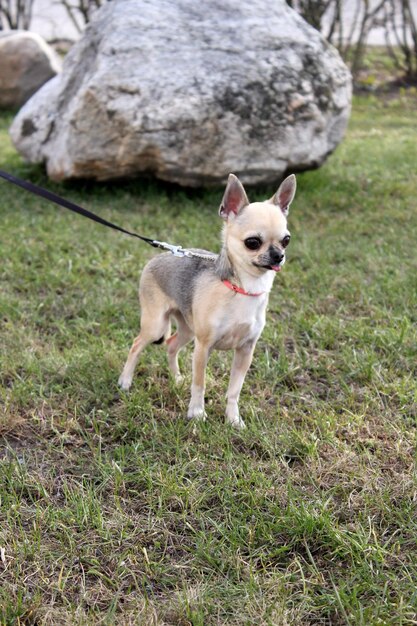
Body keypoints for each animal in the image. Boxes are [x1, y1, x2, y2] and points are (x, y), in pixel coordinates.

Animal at [118, 173, 296, 426]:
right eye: (252, 242)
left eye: (286, 240)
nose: (278, 255)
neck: (243, 289)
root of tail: (158, 256)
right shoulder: (203, 347)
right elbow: (199, 384)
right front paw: (197, 413)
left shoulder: (245, 351)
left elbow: (234, 390)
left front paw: (233, 419)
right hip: (156, 325)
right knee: (136, 345)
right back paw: (125, 381)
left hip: (187, 330)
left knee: (171, 345)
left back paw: (176, 379)